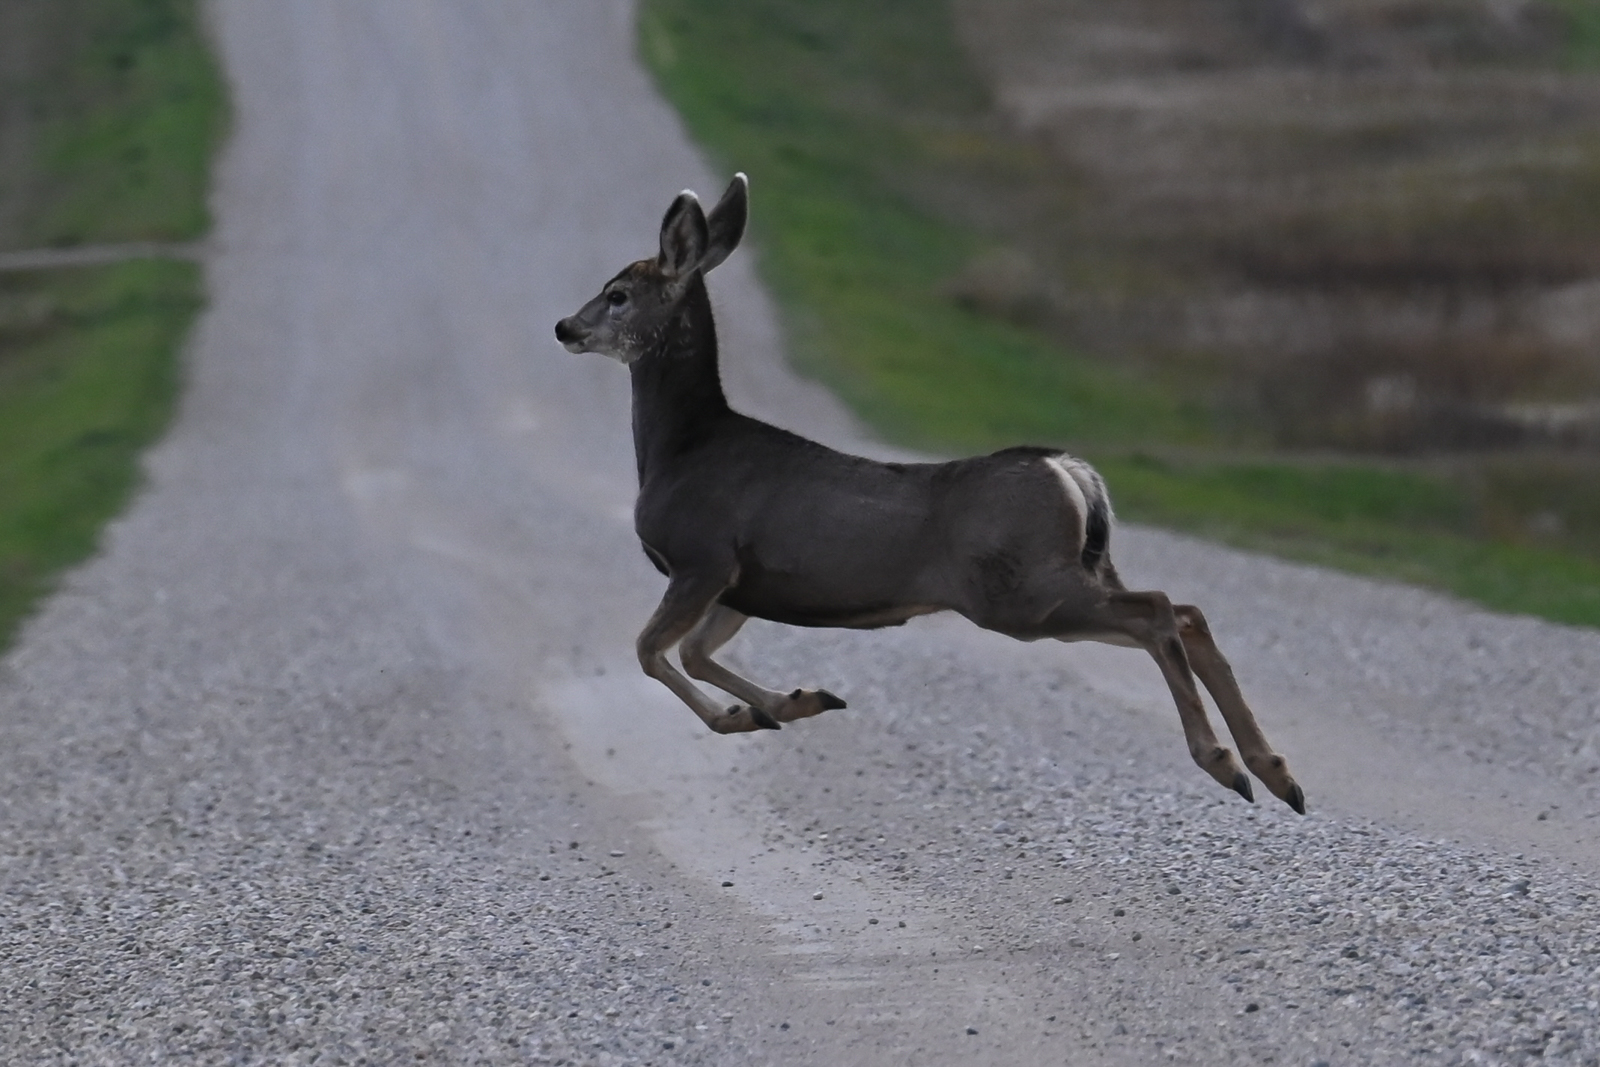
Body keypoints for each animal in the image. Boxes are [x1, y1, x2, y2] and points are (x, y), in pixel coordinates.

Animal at [554, 174, 1305, 814]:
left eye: (618, 293)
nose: (566, 327)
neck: (681, 448)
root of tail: (1069, 471)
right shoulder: (741, 583)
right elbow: (696, 653)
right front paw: (793, 702)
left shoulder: (702, 555)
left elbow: (652, 651)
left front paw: (747, 714)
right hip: (1075, 571)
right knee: (1185, 611)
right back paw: (1276, 772)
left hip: (1020, 590)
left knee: (1158, 610)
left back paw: (1226, 763)